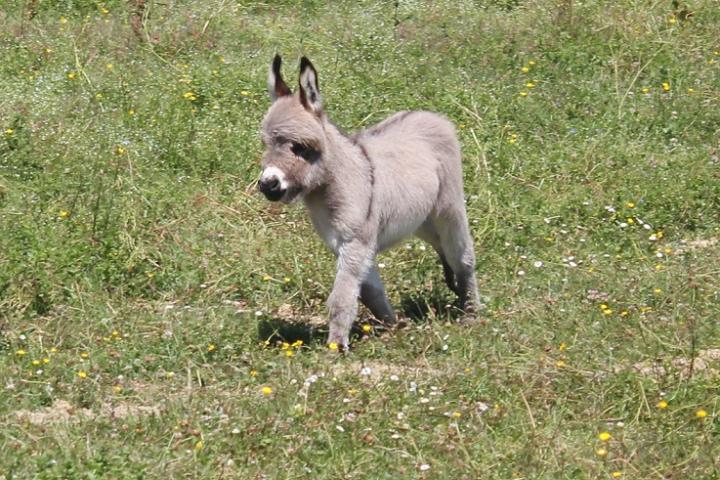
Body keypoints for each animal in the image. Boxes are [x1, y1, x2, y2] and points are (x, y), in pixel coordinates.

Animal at [258, 56, 478, 348]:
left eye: (300, 147)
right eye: (266, 144)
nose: (268, 185)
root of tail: (430, 115)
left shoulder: (356, 242)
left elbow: (342, 296)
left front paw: (336, 347)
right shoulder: (343, 244)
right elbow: (369, 291)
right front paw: (394, 326)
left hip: (449, 207)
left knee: (462, 254)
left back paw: (471, 313)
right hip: (420, 217)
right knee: (440, 244)